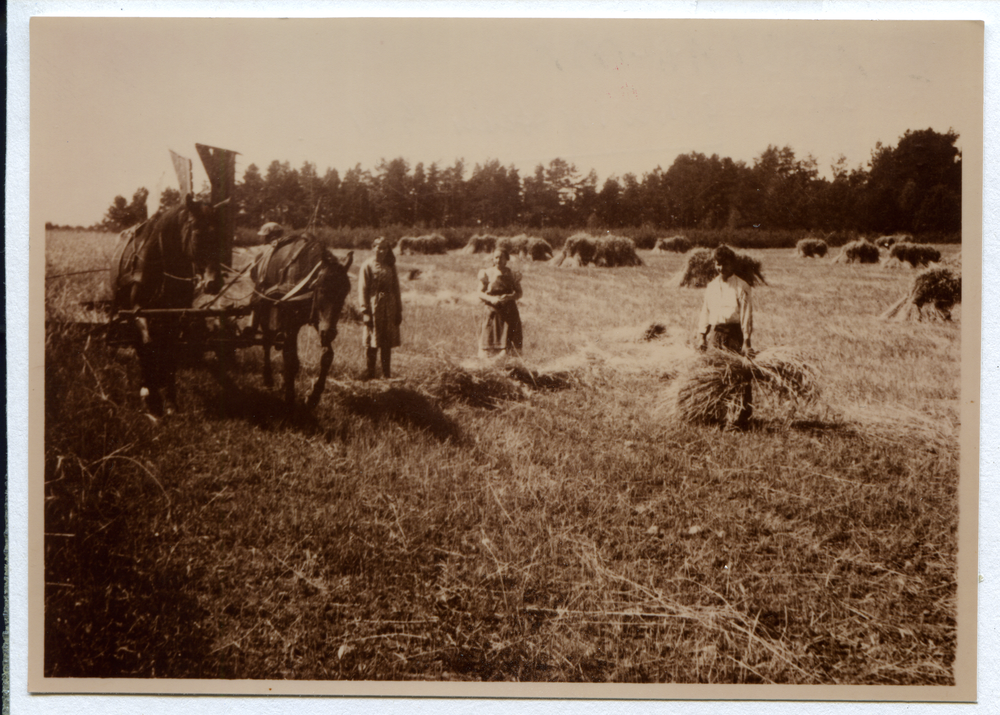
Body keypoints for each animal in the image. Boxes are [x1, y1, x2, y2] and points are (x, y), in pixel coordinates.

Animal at [111, 193, 225, 416]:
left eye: (220, 236)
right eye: (197, 234)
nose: (214, 283)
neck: (161, 267)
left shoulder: (174, 315)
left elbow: (170, 350)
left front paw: (170, 400)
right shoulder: (139, 312)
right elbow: (148, 347)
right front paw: (151, 398)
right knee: (141, 345)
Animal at [250, 236, 356, 408]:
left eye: (344, 292)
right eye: (322, 290)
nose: (330, 332)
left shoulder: (320, 320)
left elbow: (327, 356)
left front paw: (314, 396)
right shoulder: (290, 323)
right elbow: (291, 360)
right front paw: (289, 396)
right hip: (262, 305)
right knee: (266, 340)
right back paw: (268, 378)